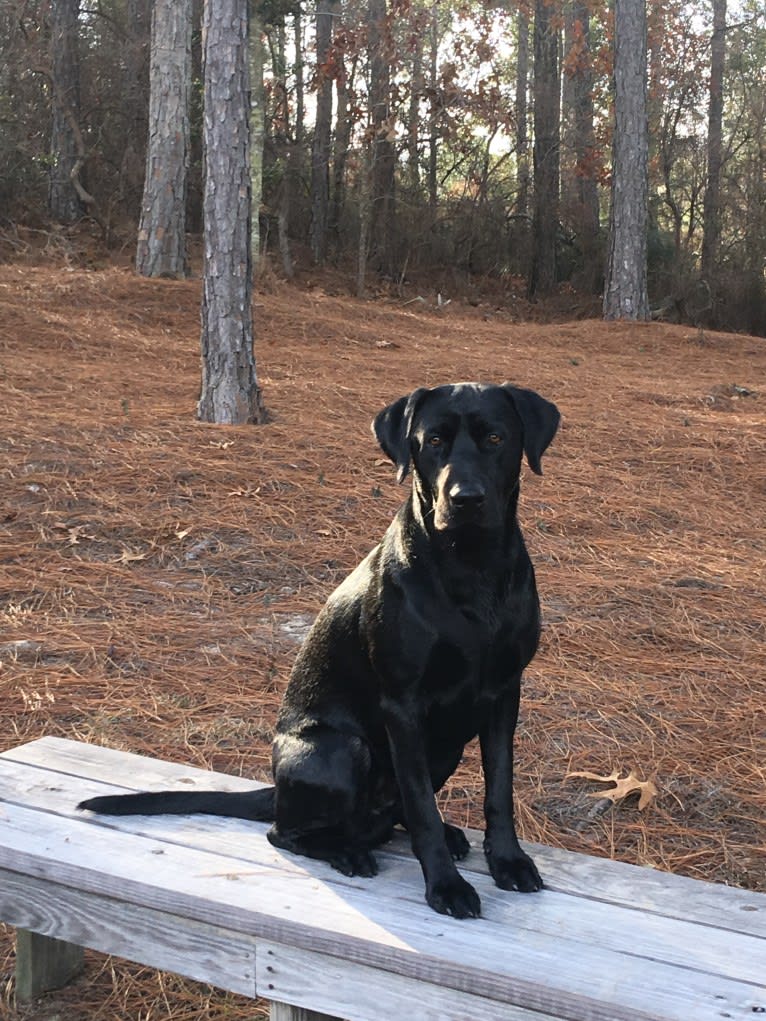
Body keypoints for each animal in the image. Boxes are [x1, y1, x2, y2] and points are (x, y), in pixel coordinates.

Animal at [81, 381, 559, 918]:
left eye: (495, 438)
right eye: (433, 441)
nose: (466, 499)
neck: (471, 566)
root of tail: (277, 791)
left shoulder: (504, 694)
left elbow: (498, 789)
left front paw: (508, 861)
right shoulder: (403, 705)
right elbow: (421, 807)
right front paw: (445, 886)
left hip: (446, 747)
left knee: (386, 817)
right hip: (340, 749)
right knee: (287, 832)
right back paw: (347, 852)